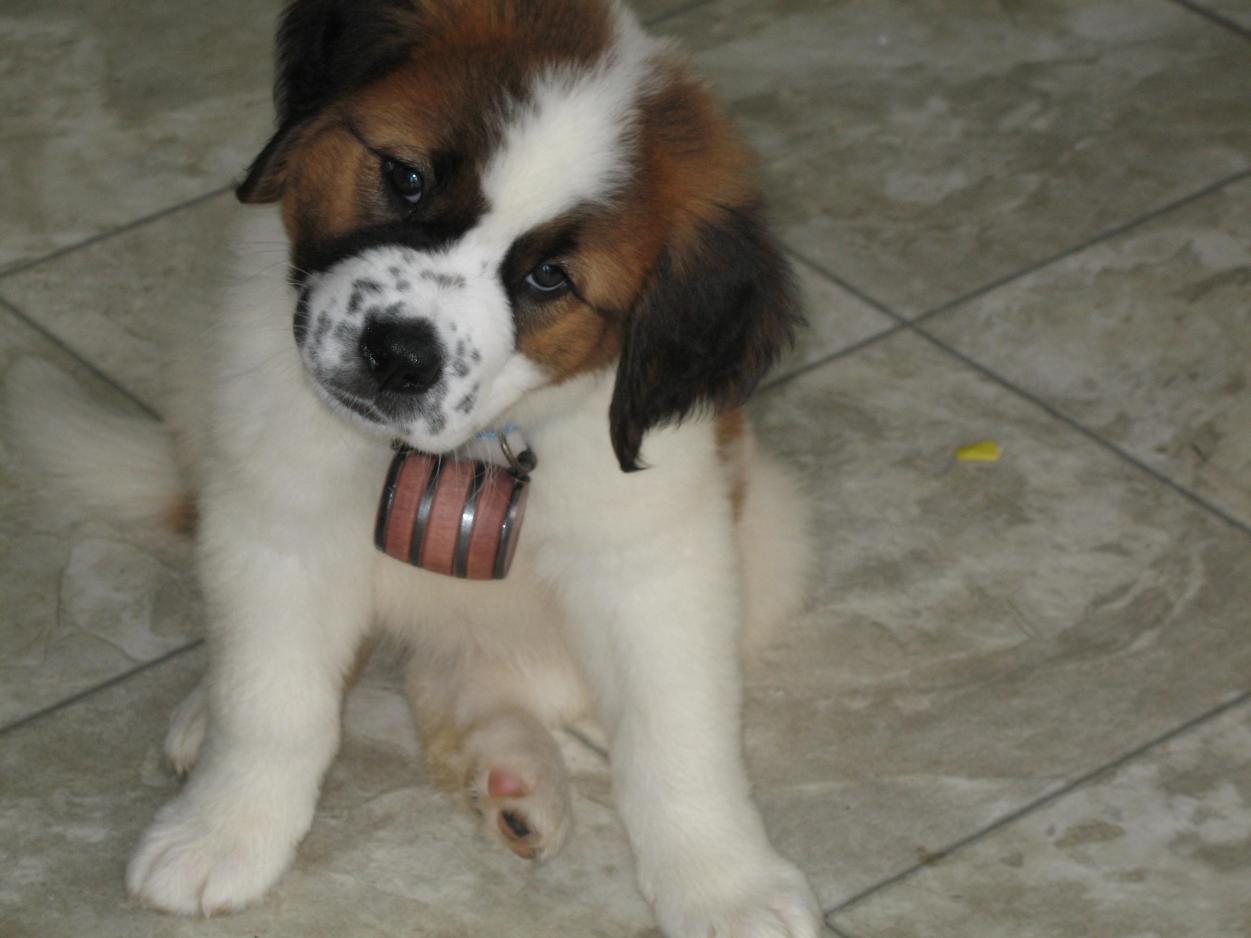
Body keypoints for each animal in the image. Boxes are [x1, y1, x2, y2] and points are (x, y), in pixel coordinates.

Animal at [7, 1, 820, 934]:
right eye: (406, 179)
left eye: (550, 278)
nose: (398, 354)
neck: (466, 449)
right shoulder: (276, 520)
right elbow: (270, 700)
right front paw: (222, 830)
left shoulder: (655, 561)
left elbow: (677, 731)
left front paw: (726, 882)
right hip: (195, 384)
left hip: (771, 535)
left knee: (480, 674)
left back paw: (517, 772)